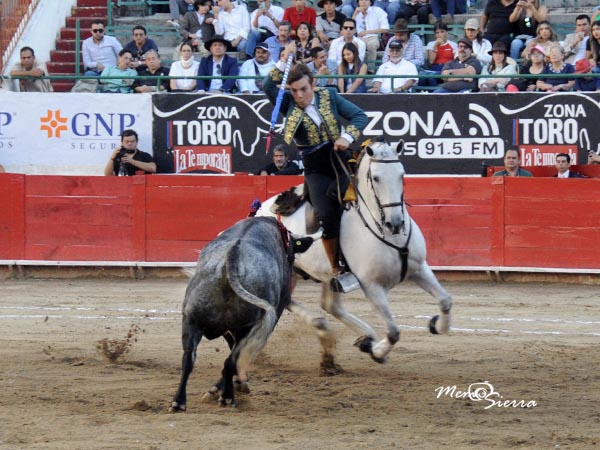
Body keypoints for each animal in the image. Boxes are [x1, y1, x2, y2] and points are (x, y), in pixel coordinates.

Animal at [170, 216, 318, 410]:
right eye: (292, 252)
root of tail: (229, 264)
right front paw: (232, 385)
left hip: (191, 320)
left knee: (188, 358)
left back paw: (179, 402)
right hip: (247, 327)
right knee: (230, 360)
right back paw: (227, 397)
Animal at [256, 139, 450, 370]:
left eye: (402, 174)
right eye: (375, 178)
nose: (395, 223)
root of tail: (260, 209)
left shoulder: (419, 268)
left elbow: (445, 301)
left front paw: (437, 325)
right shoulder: (372, 286)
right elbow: (394, 332)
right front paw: (377, 352)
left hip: (329, 275)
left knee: (330, 306)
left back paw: (361, 338)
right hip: (288, 271)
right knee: (283, 301)